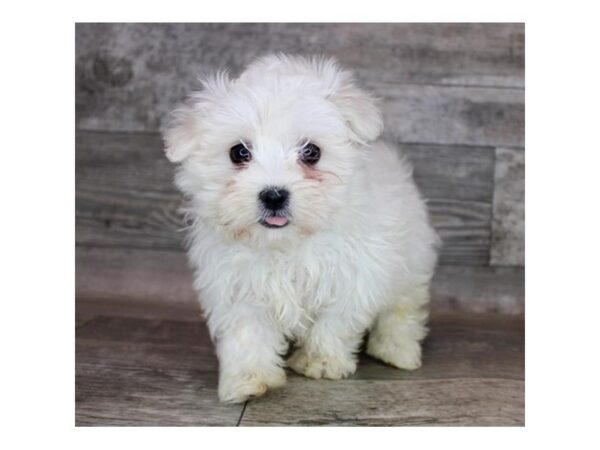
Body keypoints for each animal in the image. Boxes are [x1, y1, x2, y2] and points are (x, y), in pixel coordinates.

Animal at [162, 54, 438, 402]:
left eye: (311, 152)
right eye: (239, 152)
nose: (273, 195)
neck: (285, 244)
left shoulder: (352, 274)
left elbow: (335, 322)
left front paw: (320, 362)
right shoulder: (237, 283)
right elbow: (246, 331)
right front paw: (248, 379)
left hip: (411, 256)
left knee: (403, 307)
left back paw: (397, 350)